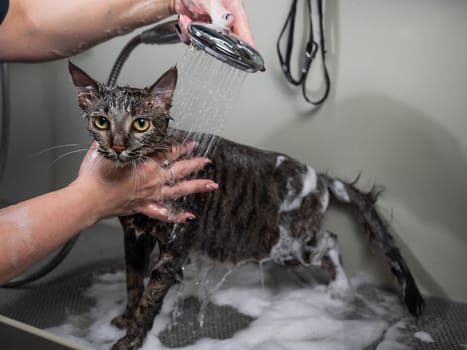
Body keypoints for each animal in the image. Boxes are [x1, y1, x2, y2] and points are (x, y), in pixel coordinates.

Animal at [68, 62, 424, 350]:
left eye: (141, 124)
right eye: (101, 122)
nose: (117, 147)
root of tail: (318, 176)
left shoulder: (174, 248)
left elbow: (149, 298)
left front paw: (131, 338)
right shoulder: (133, 237)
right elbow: (133, 284)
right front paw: (126, 318)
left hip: (288, 245)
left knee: (330, 241)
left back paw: (339, 289)